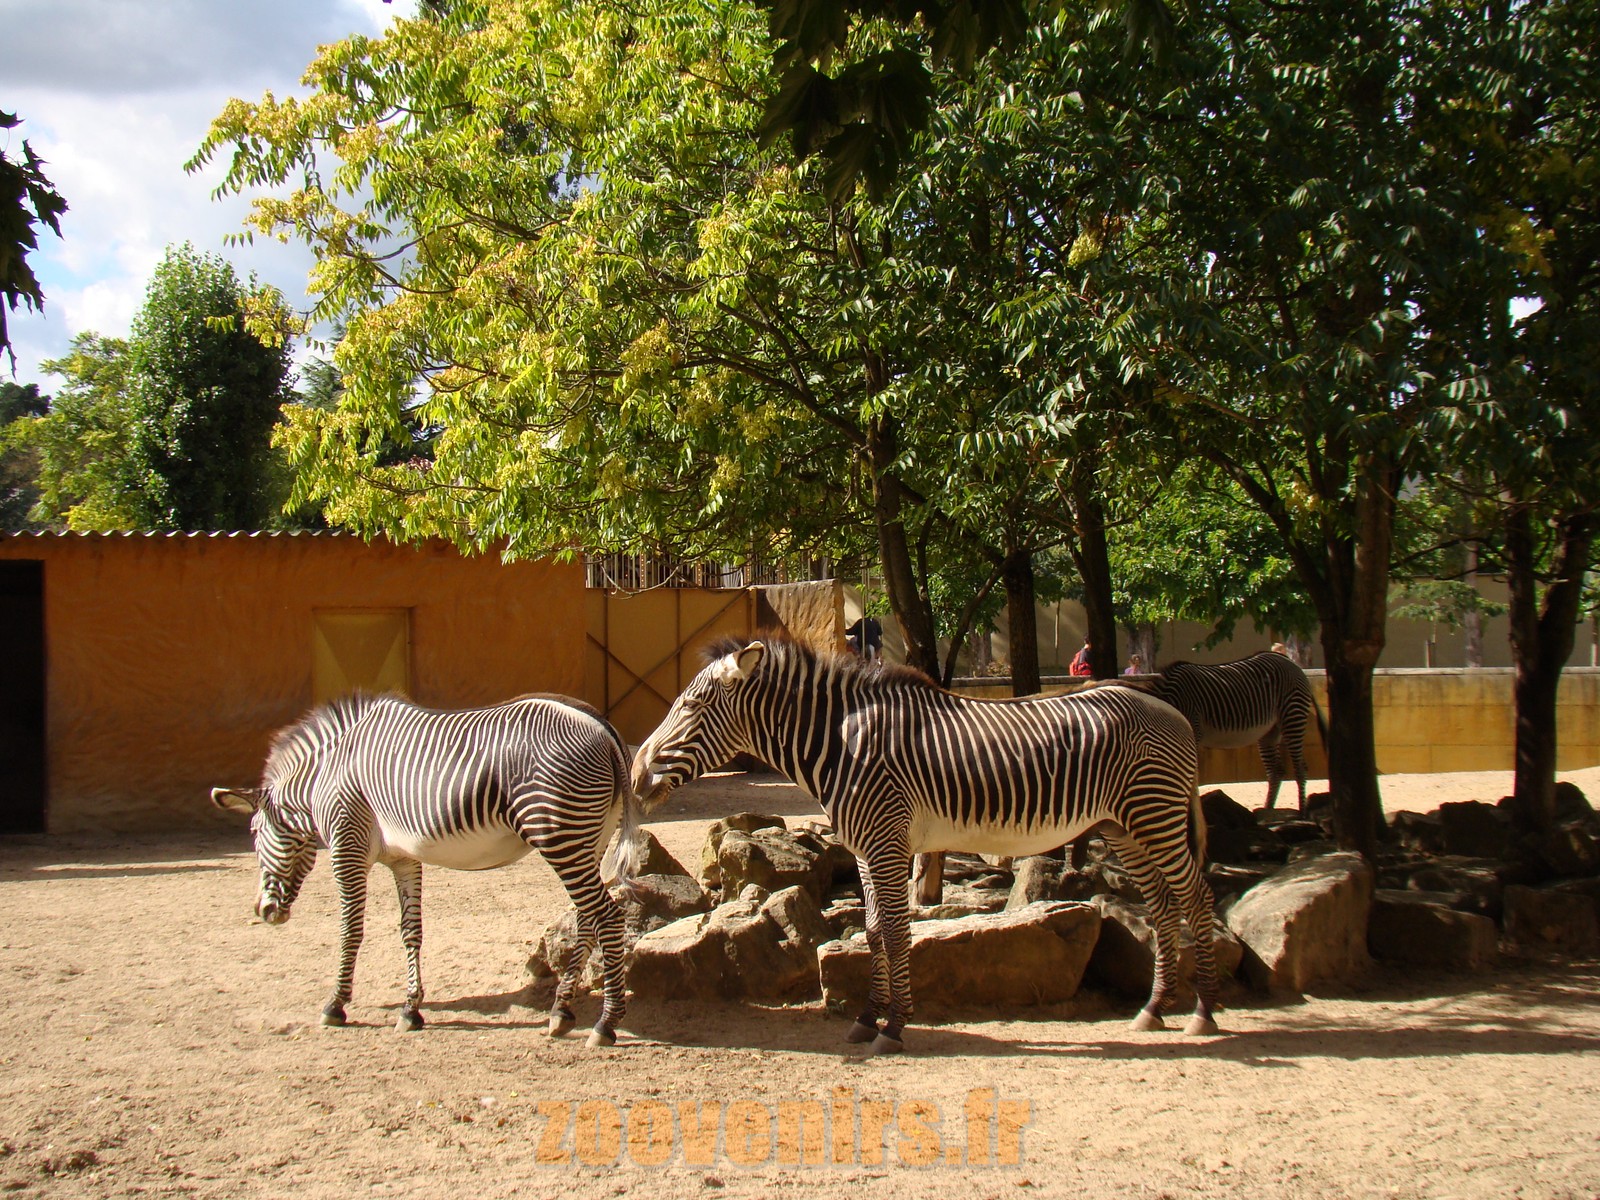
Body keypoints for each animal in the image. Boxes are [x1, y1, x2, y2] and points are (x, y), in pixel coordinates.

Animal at [212, 691, 645, 1048]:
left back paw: (605, 1024)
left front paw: (335, 1005)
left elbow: (351, 930)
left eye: (253, 833)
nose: (263, 911)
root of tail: (601, 725)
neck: (324, 775)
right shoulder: (404, 858)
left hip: (560, 836)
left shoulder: (346, 847)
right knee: (587, 918)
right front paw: (410, 1009)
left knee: (607, 916)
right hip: (589, 839)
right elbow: (411, 931)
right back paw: (560, 1012)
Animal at [631, 636, 1219, 1055]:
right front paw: (866, 1017)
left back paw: (1202, 1012)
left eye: (692, 705)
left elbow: (896, 933)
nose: (635, 774)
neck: (842, 744)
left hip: (1156, 817)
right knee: (1164, 905)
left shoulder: (888, 844)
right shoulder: (865, 850)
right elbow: (872, 932)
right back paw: (1154, 1008)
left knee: (1197, 899)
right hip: (1126, 827)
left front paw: (893, 1026)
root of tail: (1169, 710)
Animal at [1148, 651, 1324, 811]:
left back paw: (1302, 813)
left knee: (1300, 768)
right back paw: (1267, 812)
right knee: (1277, 771)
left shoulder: (1194, 730)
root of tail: (1289, 661)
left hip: (1293, 715)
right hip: (1269, 731)